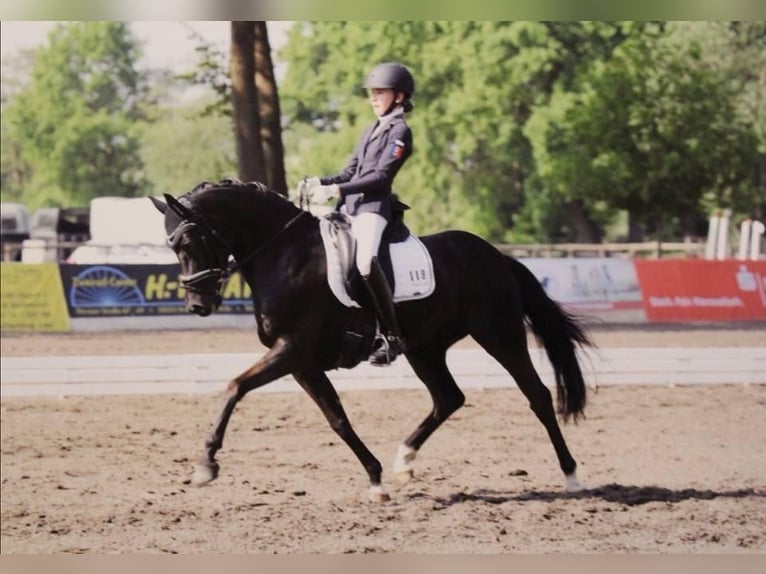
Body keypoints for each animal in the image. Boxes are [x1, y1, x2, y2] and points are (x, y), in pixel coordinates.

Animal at [150, 180, 592, 504]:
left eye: (189, 243)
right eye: (172, 247)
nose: (198, 306)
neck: (284, 257)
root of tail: (497, 256)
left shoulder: (292, 350)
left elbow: (234, 387)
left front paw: (206, 464)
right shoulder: (302, 363)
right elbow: (337, 419)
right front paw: (376, 480)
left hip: (500, 335)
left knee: (537, 395)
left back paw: (571, 476)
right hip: (425, 348)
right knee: (448, 398)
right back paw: (405, 461)